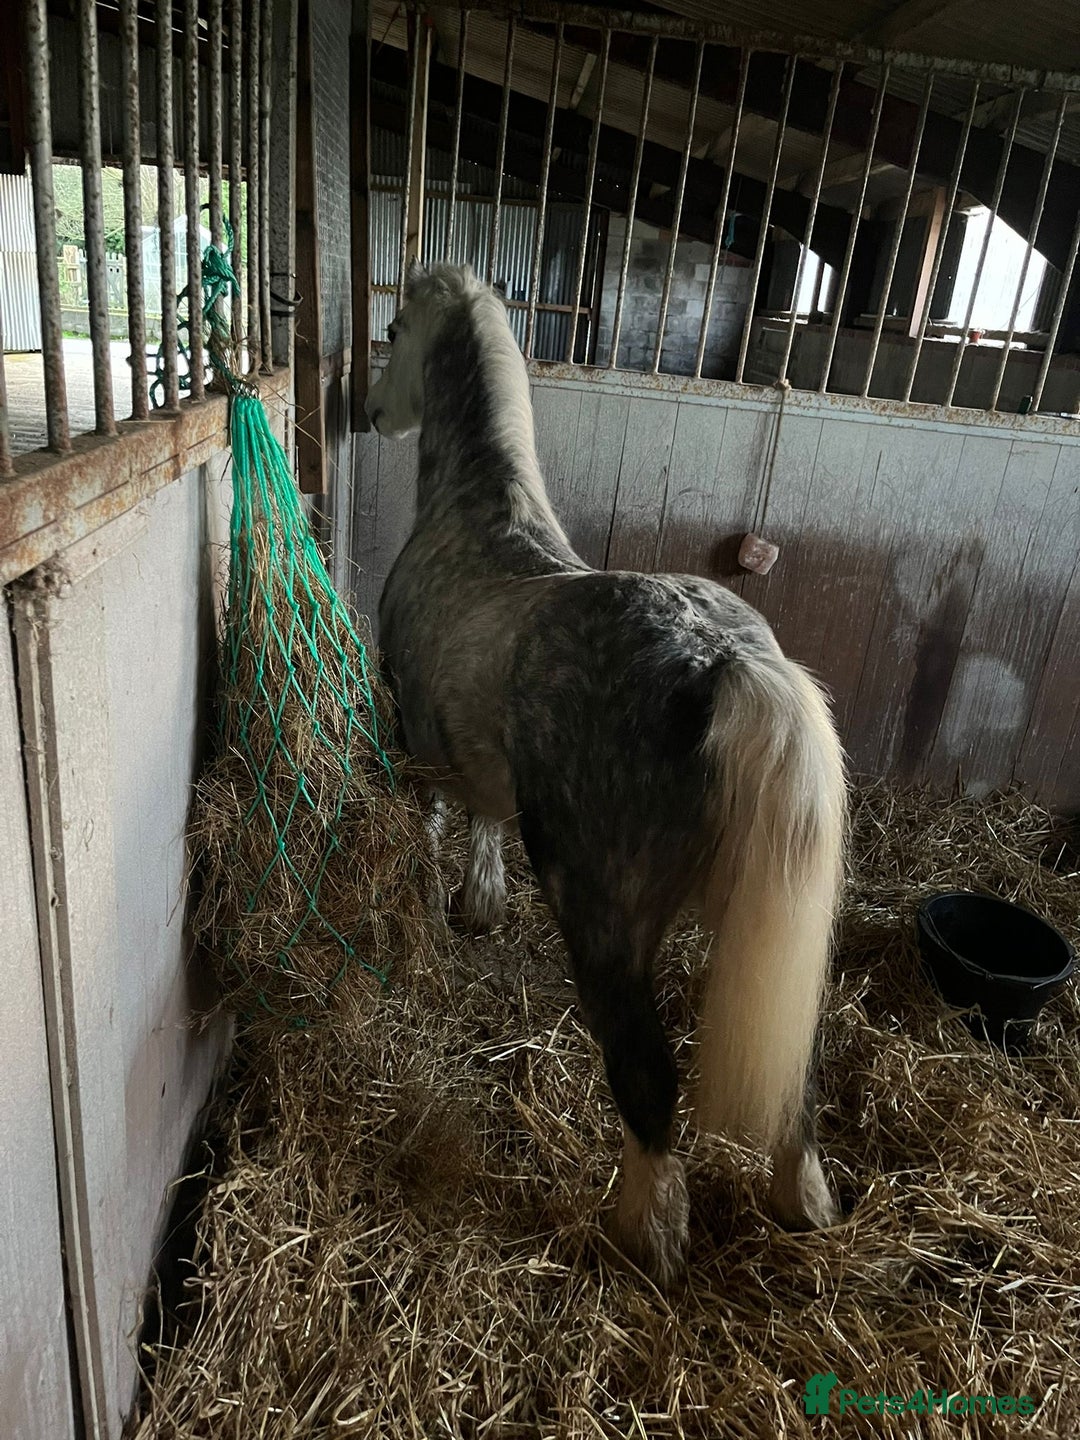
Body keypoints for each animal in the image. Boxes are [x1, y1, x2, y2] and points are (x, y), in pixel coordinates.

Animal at [365, 261, 847, 1286]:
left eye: (393, 330)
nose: (372, 410)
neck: (479, 517)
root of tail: (719, 663)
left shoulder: (414, 733)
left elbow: (435, 819)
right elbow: (482, 816)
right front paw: (480, 904)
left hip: (609, 931)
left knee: (647, 1081)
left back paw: (644, 1238)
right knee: (795, 1068)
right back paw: (805, 1203)